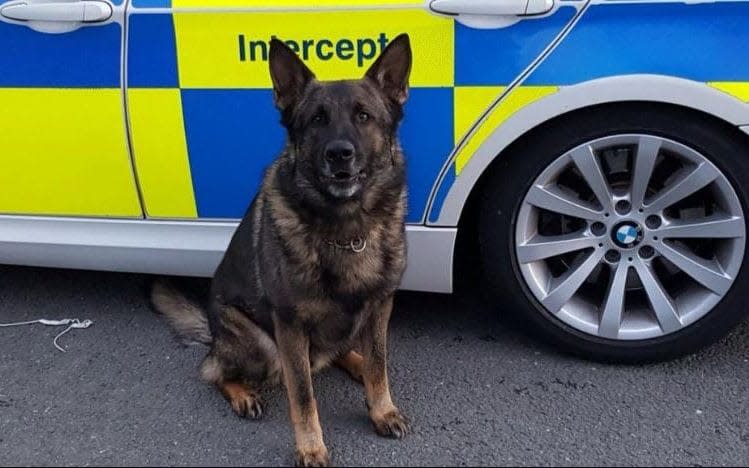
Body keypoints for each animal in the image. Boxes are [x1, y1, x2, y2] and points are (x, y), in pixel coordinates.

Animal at [150, 33, 412, 468]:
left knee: (337, 354)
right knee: (215, 371)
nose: (339, 153)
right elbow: (302, 395)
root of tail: (213, 332)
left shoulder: (379, 306)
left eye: (364, 116)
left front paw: (382, 409)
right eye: (317, 120)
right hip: (261, 344)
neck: (346, 228)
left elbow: (379, 366)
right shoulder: (290, 327)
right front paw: (310, 447)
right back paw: (242, 394)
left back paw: (353, 363)